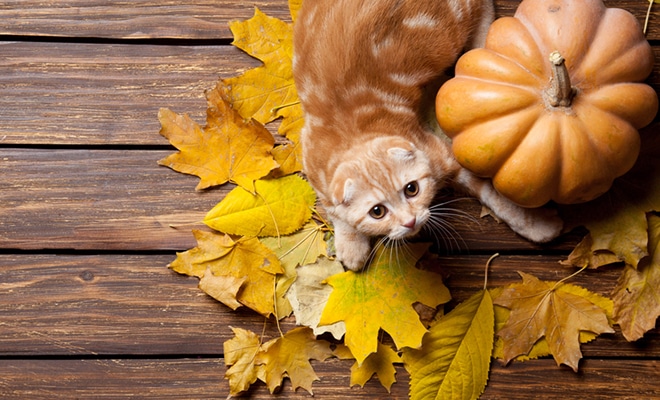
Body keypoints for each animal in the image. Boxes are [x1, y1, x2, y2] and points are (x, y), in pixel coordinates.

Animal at [294, 0, 564, 272]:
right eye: (377, 212)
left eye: (412, 189)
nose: (410, 221)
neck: (354, 135)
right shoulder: (311, 159)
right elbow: (335, 211)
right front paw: (351, 244)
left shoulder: (444, 153)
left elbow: (492, 193)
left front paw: (534, 224)